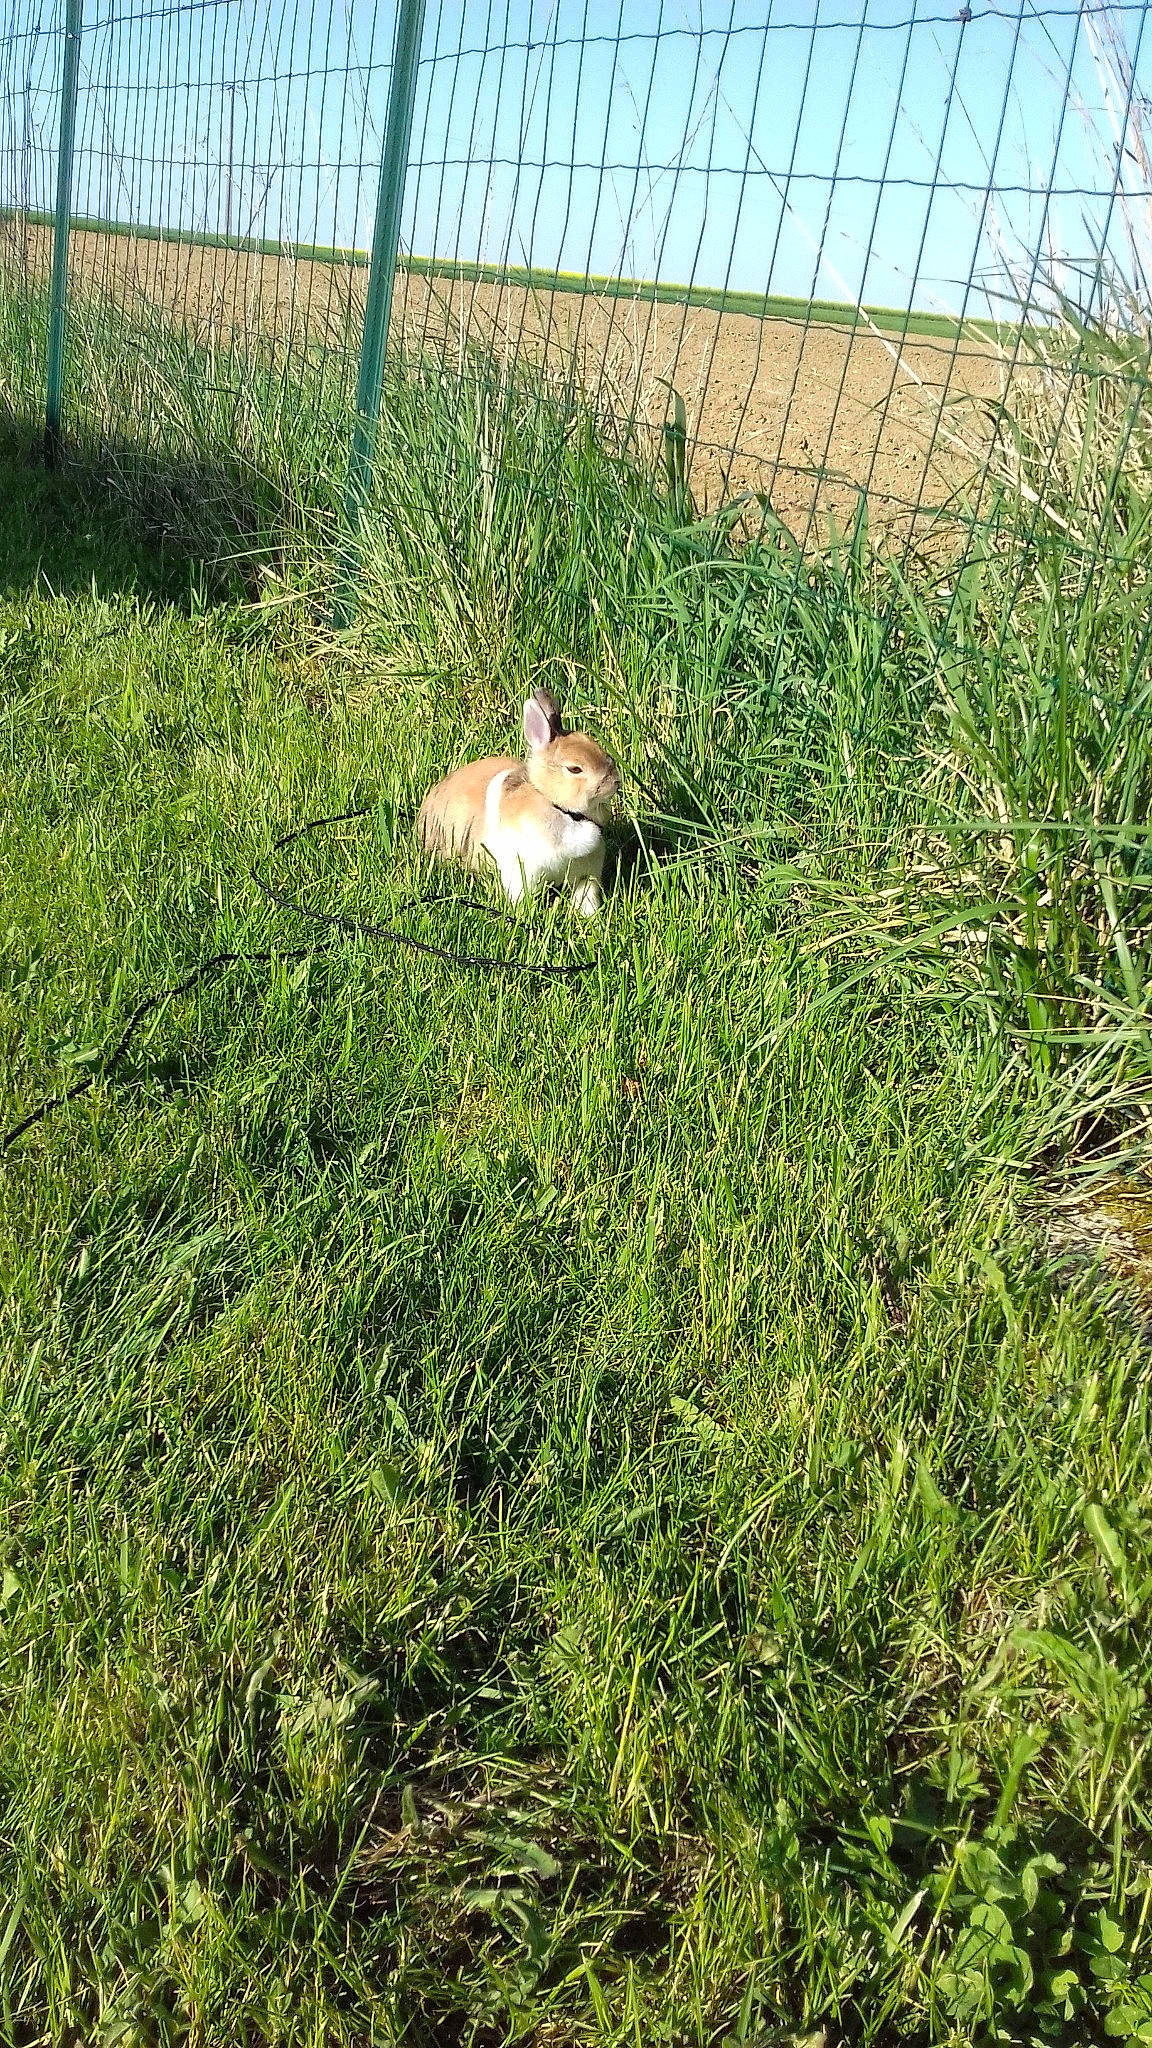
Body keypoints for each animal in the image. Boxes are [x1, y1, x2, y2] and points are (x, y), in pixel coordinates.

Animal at [416, 687, 620, 916]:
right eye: (574, 769)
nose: (615, 782)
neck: (560, 809)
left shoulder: (586, 875)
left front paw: (589, 916)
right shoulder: (523, 870)